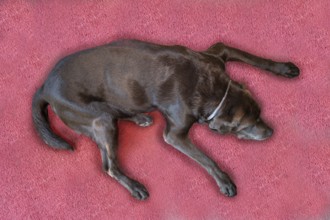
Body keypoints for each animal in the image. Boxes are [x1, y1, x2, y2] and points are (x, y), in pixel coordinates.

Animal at [32, 39, 300, 199]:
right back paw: (136, 187)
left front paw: (284, 68)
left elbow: (255, 58)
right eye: (247, 126)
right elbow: (205, 158)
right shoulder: (175, 135)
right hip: (100, 119)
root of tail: (44, 86)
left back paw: (140, 117)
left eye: (260, 113)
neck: (212, 90)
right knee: (109, 166)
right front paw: (224, 181)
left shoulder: (219, 51)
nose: (270, 132)